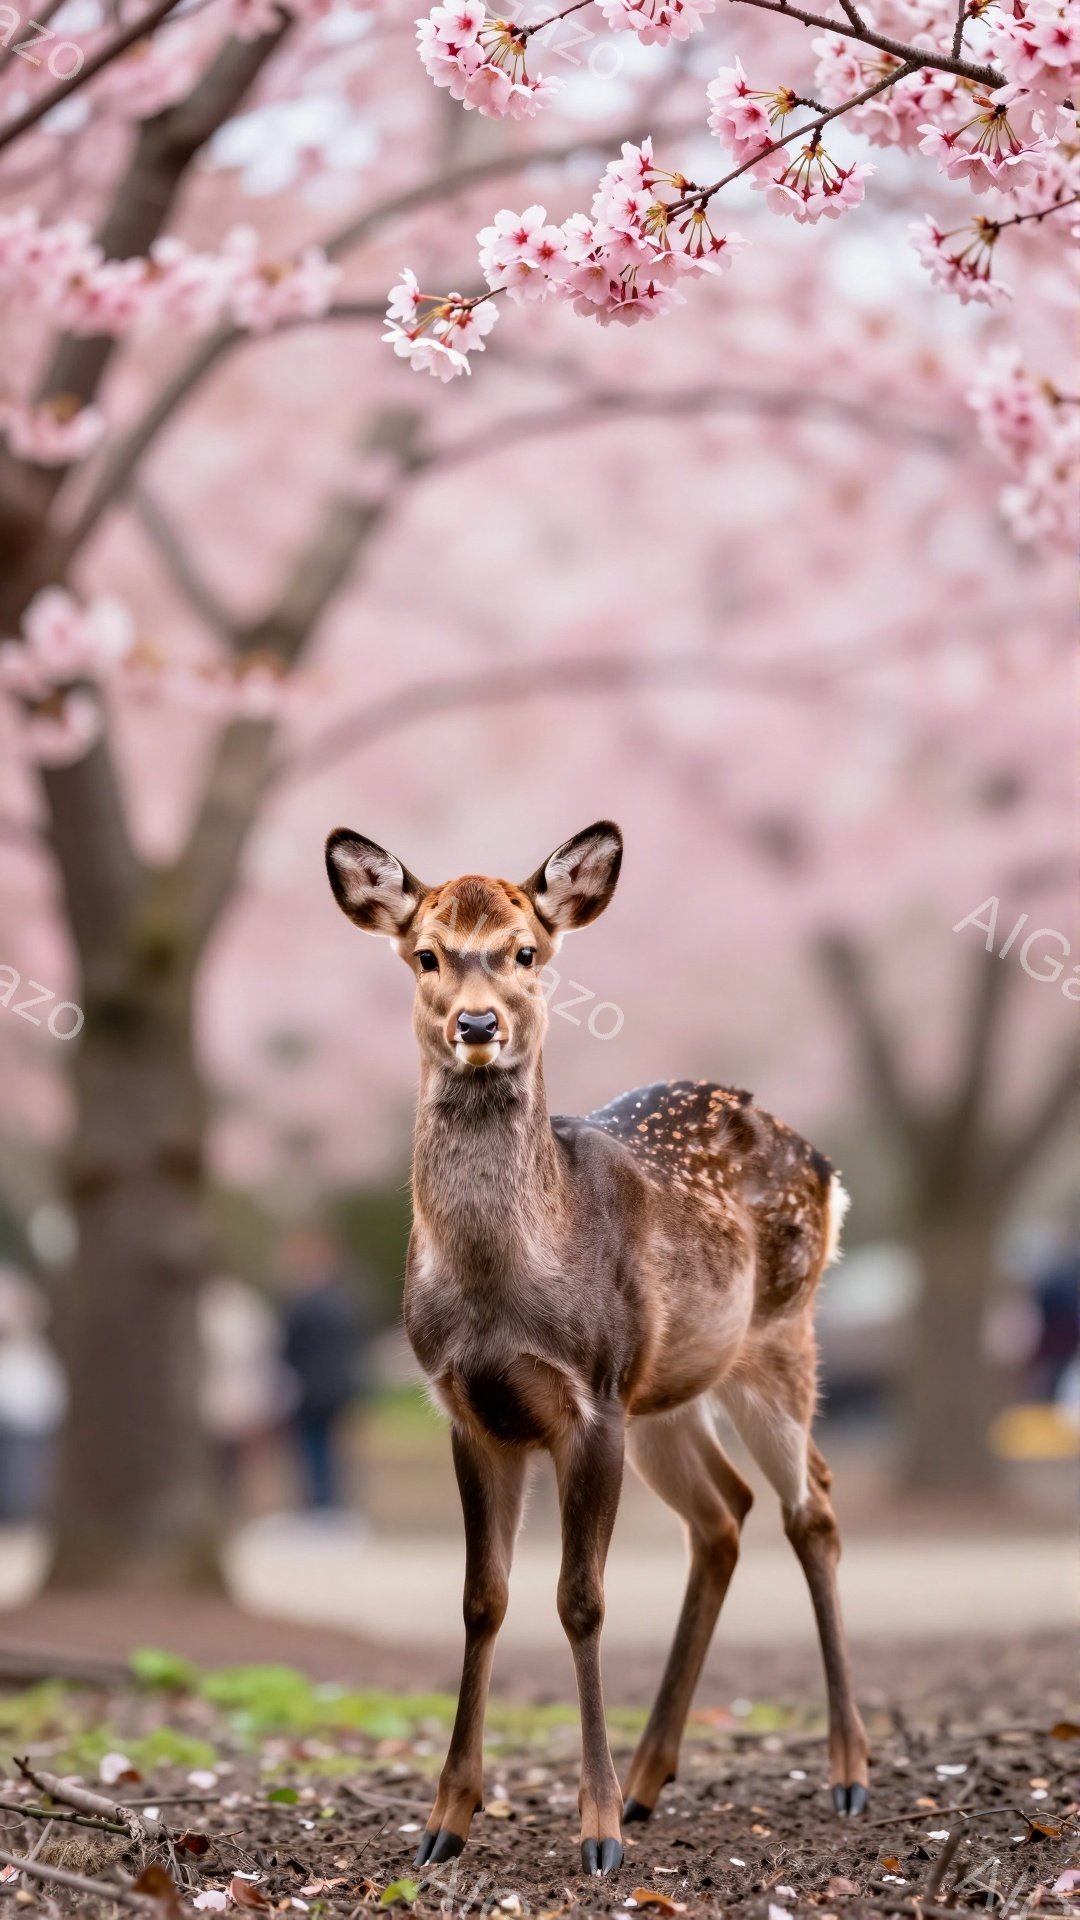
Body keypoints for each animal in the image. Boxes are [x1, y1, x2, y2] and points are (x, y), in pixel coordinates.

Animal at [324, 819, 869, 1879]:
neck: (503, 1290)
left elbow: (581, 1600)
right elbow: (481, 1599)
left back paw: (849, 1772)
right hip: (667, 1390)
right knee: (725, 1513)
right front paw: (445, 1823)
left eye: (527, 953)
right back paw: (656, 1777)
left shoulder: (591, 1396)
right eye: (427, 955)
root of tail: (827, 1168)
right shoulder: (467, 1407)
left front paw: (597, 1831)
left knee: (812, 1506)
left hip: (772, 1340)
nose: (478, 1024)